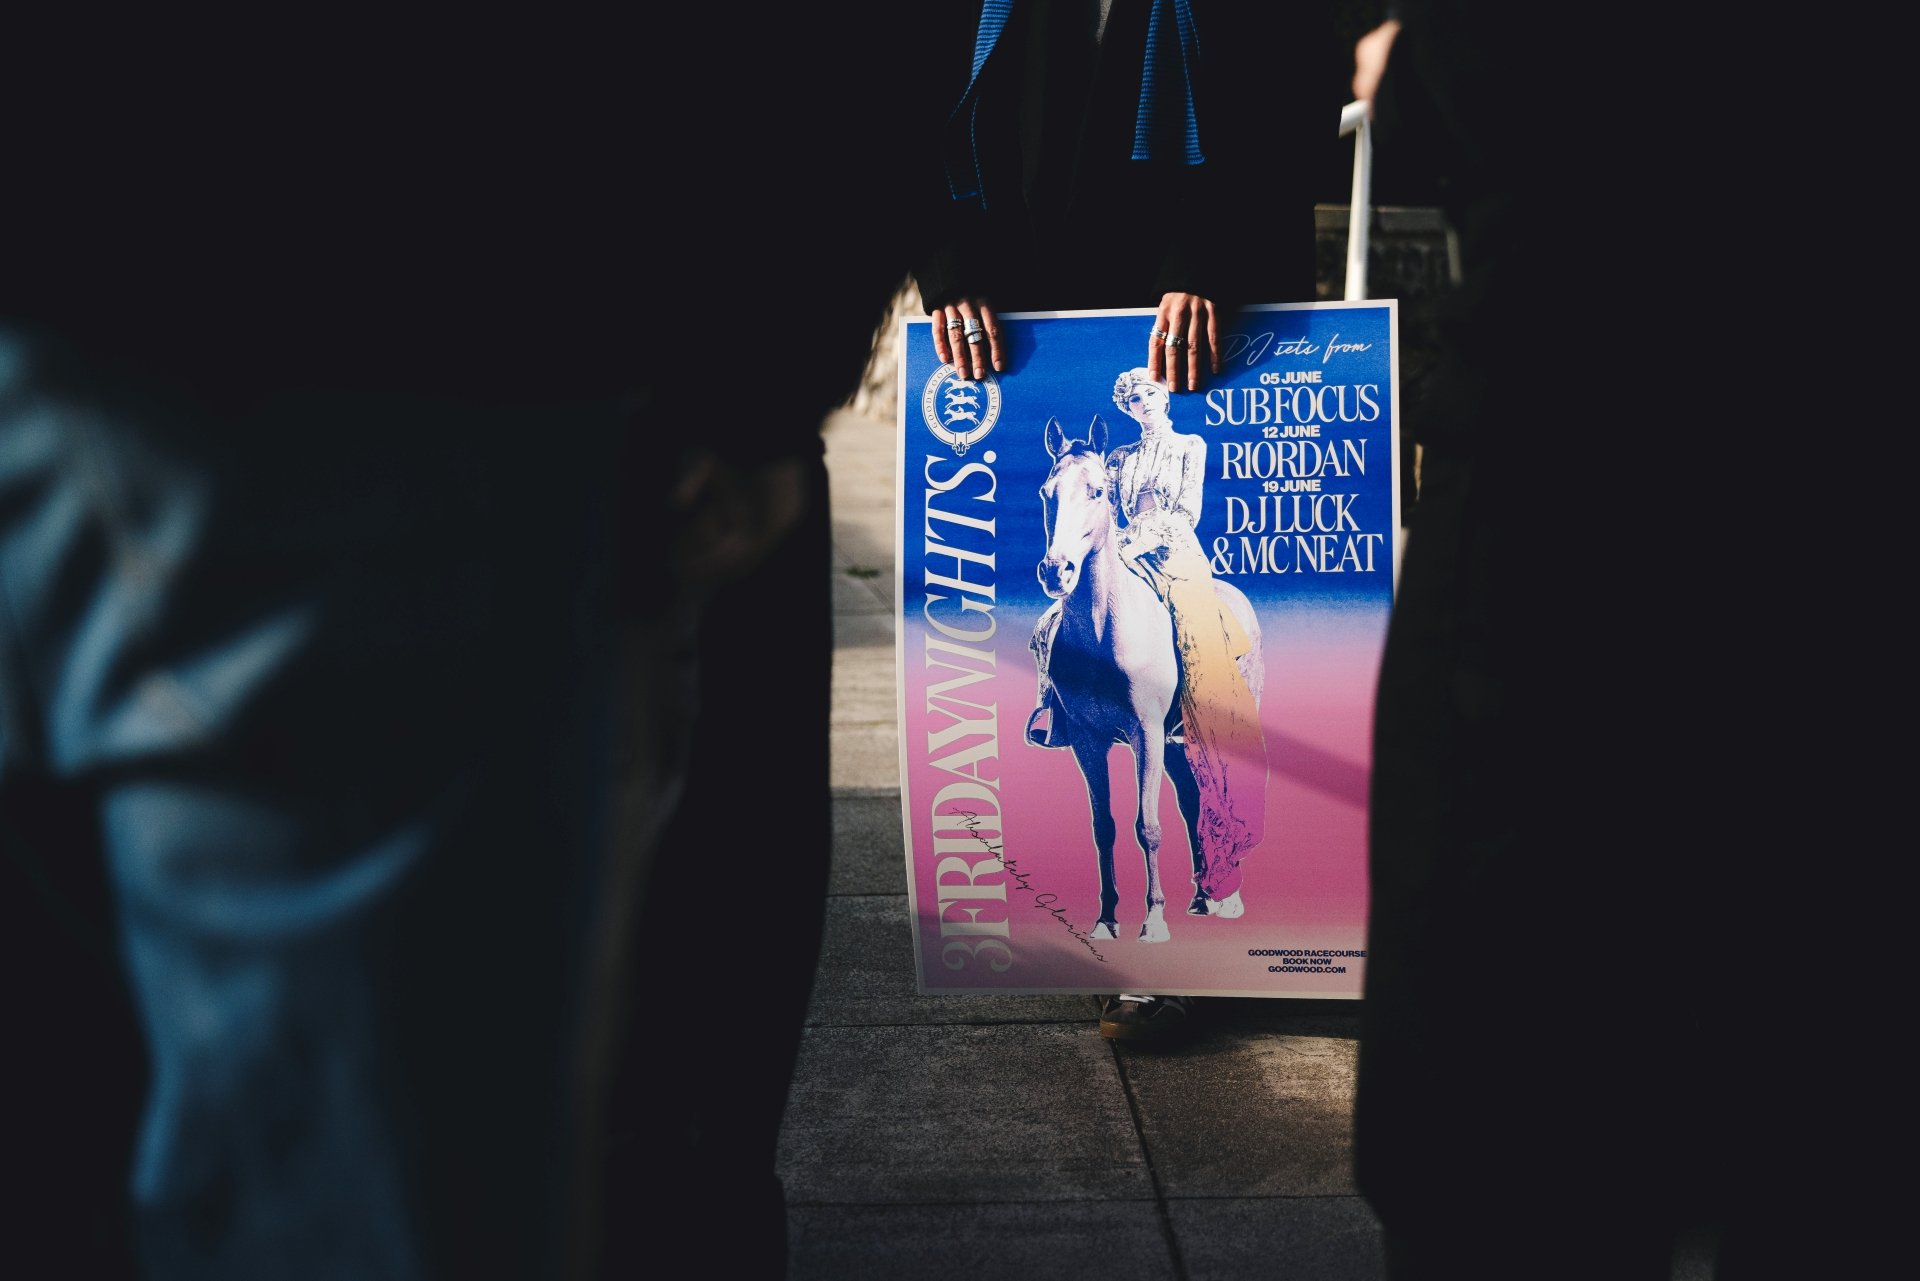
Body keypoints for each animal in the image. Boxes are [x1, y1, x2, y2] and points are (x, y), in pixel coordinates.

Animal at [1034, 414, 1263, 943]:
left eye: (1098, 490)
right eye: (1047, 492)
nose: (1057, 571)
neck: (1104, 633)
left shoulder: (1147, 735)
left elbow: (1149, 826)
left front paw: (1154, 920)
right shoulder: (1088, 740)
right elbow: (1105, 827)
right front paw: (1106, 919)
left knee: (1221, 797)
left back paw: (1228, 897)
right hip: (1180, 744)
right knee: (1194, 803)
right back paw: (1202, 897)